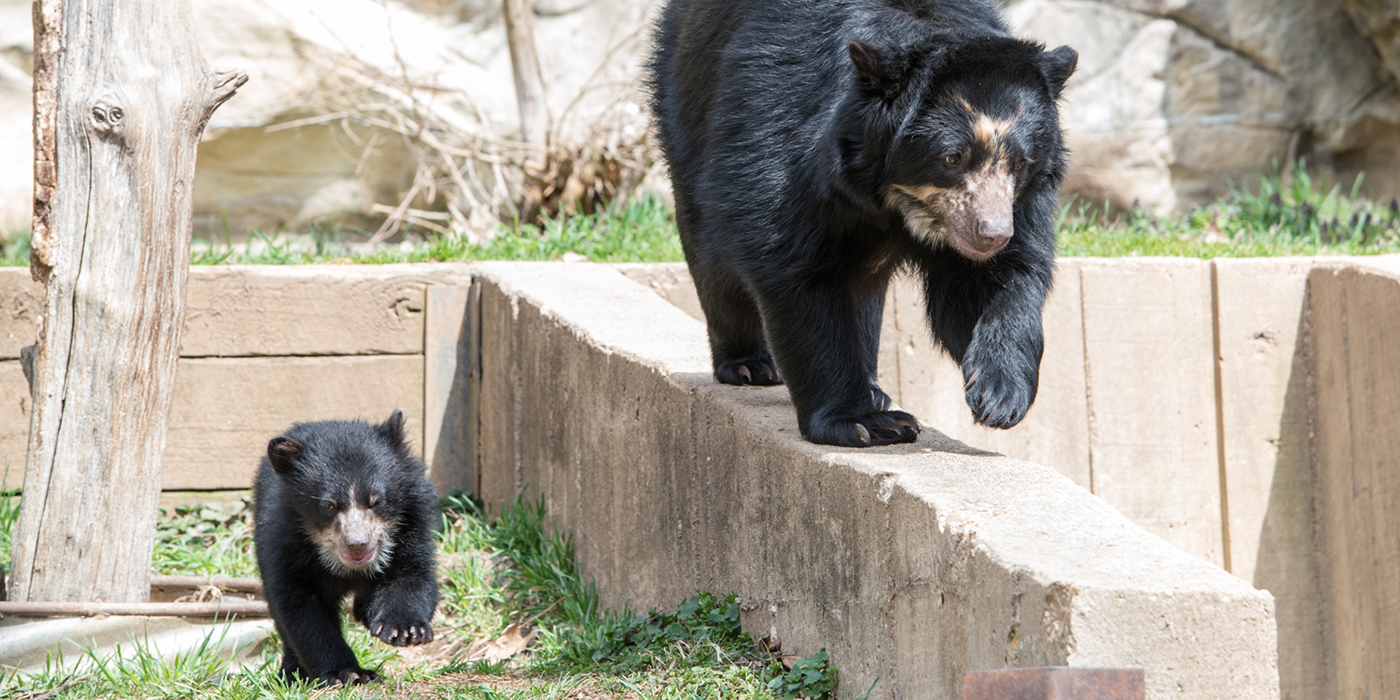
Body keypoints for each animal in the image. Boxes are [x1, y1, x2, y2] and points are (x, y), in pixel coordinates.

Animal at [254, 408, 439, 686]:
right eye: (329, 505)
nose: (357, 544)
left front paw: (404, 630)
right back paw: (292, 672)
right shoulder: (283, 541)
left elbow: (410, 576)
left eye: (376, 501)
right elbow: (299, 606)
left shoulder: (410, 528)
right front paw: (347, 673)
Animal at [649, 0, 1075, 445]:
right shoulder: (782, 131)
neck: (894, 200)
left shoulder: (1012, 207)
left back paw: (874, 387)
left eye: (1021, 162)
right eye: (952, 157)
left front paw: (999, 393)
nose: (992, 235)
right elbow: (794, 268)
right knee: (710, 248)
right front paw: (863, 423)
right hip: (687, 107)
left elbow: (997, 280)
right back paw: (750, 365)